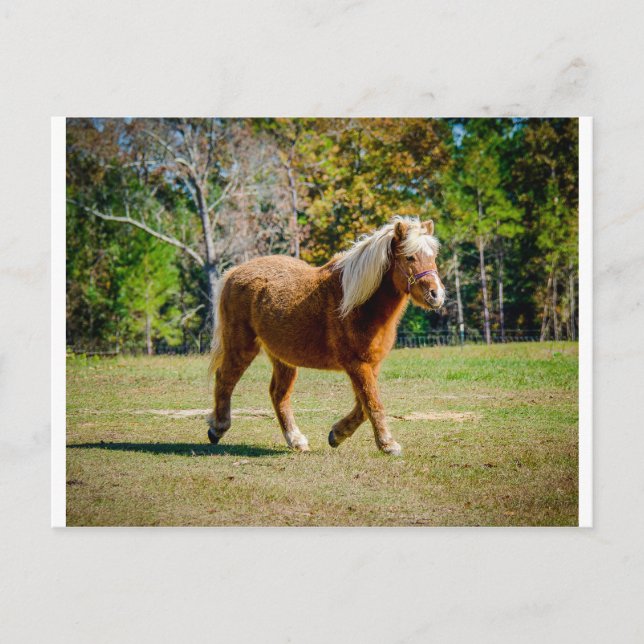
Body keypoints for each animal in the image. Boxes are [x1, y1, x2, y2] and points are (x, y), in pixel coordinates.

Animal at [207, 216, 445, 456]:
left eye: (432, 256)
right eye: (409, 257)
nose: (436, 295)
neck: (357, 303)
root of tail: (233, 273)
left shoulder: (371, 364)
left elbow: (363, 406)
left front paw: (337, 434)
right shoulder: (357, 364)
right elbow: (372, 403)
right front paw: (388, 444)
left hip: (283, 358)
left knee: (278, 394)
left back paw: (296, 439)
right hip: (241, 347)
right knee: (225, 379)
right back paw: (218, 428)